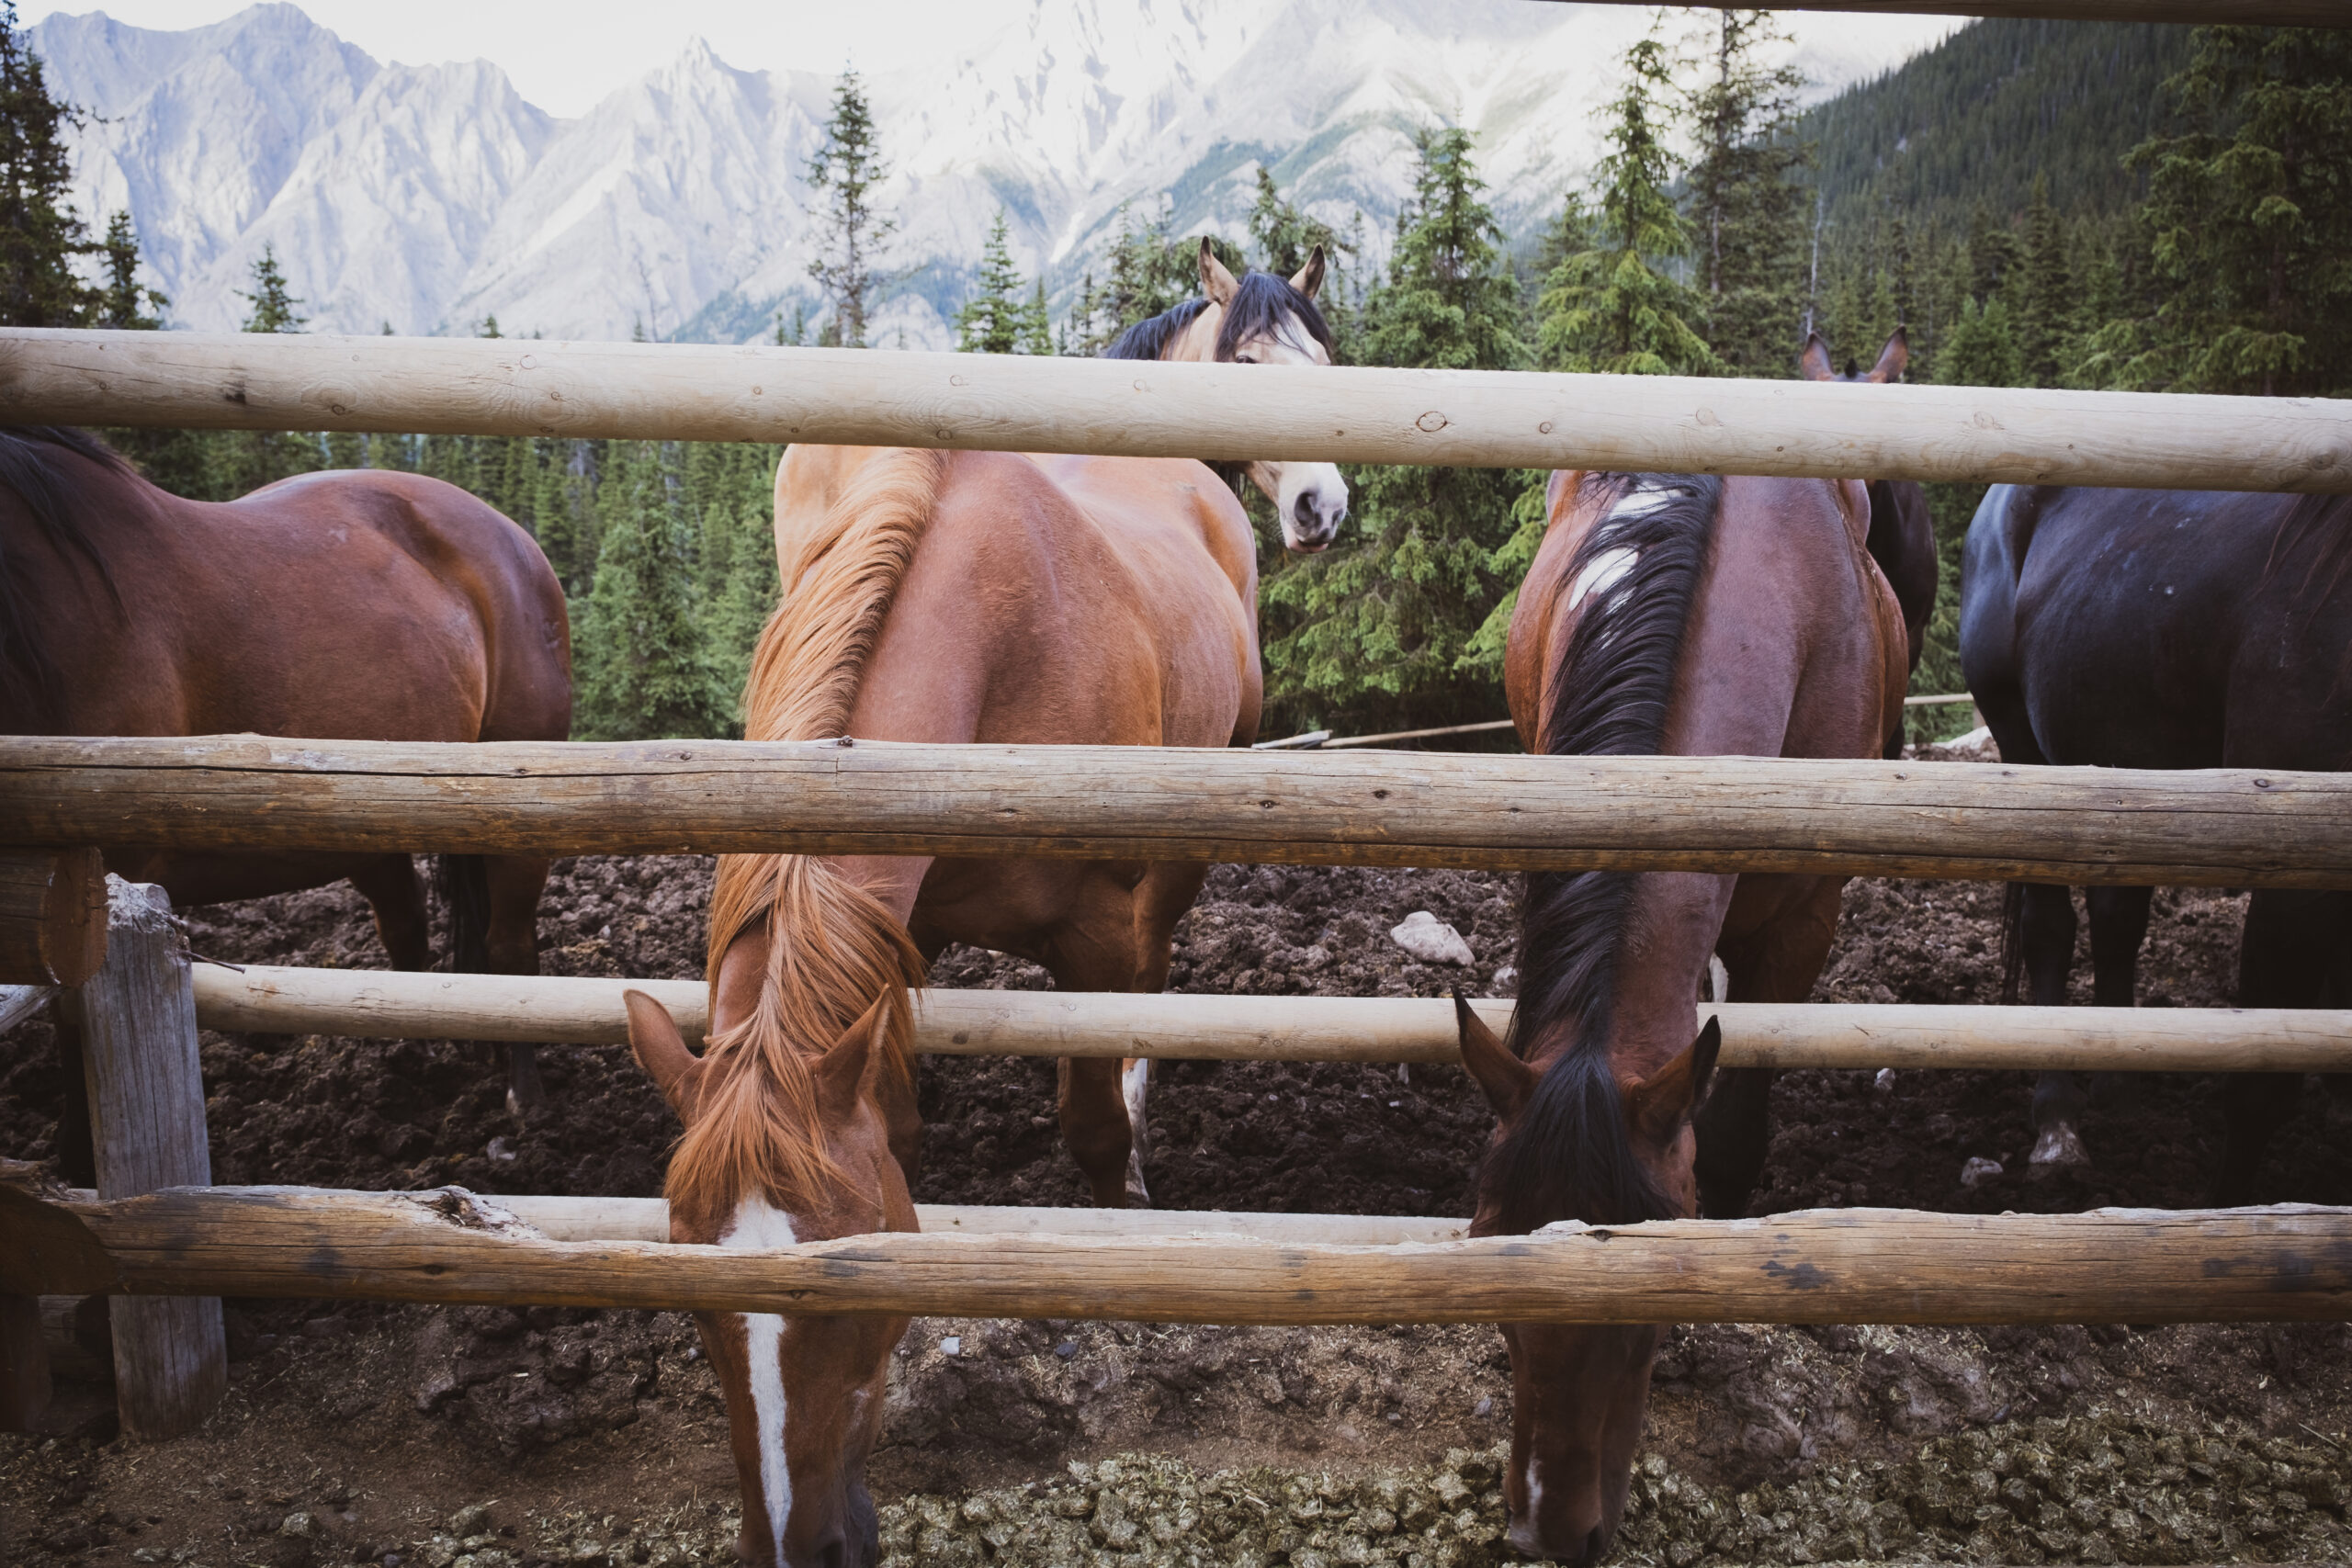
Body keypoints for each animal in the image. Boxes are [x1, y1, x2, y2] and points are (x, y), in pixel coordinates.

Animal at [616, 236, 1336, 1568]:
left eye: (848, 1298)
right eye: (687, 1300)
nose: (800, 1546)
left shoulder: (1096, 928)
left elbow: (1094, 1124)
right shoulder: (889, 947)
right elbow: (900, 1121)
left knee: (1156, 986)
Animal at [1947, 484, 2352, 1194]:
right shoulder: (2296, 877)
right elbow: (2262, 1088)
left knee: (2117, 918)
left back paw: (2117, 1085)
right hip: (2024, 749)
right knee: (2050, 927)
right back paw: (2057, 1122)